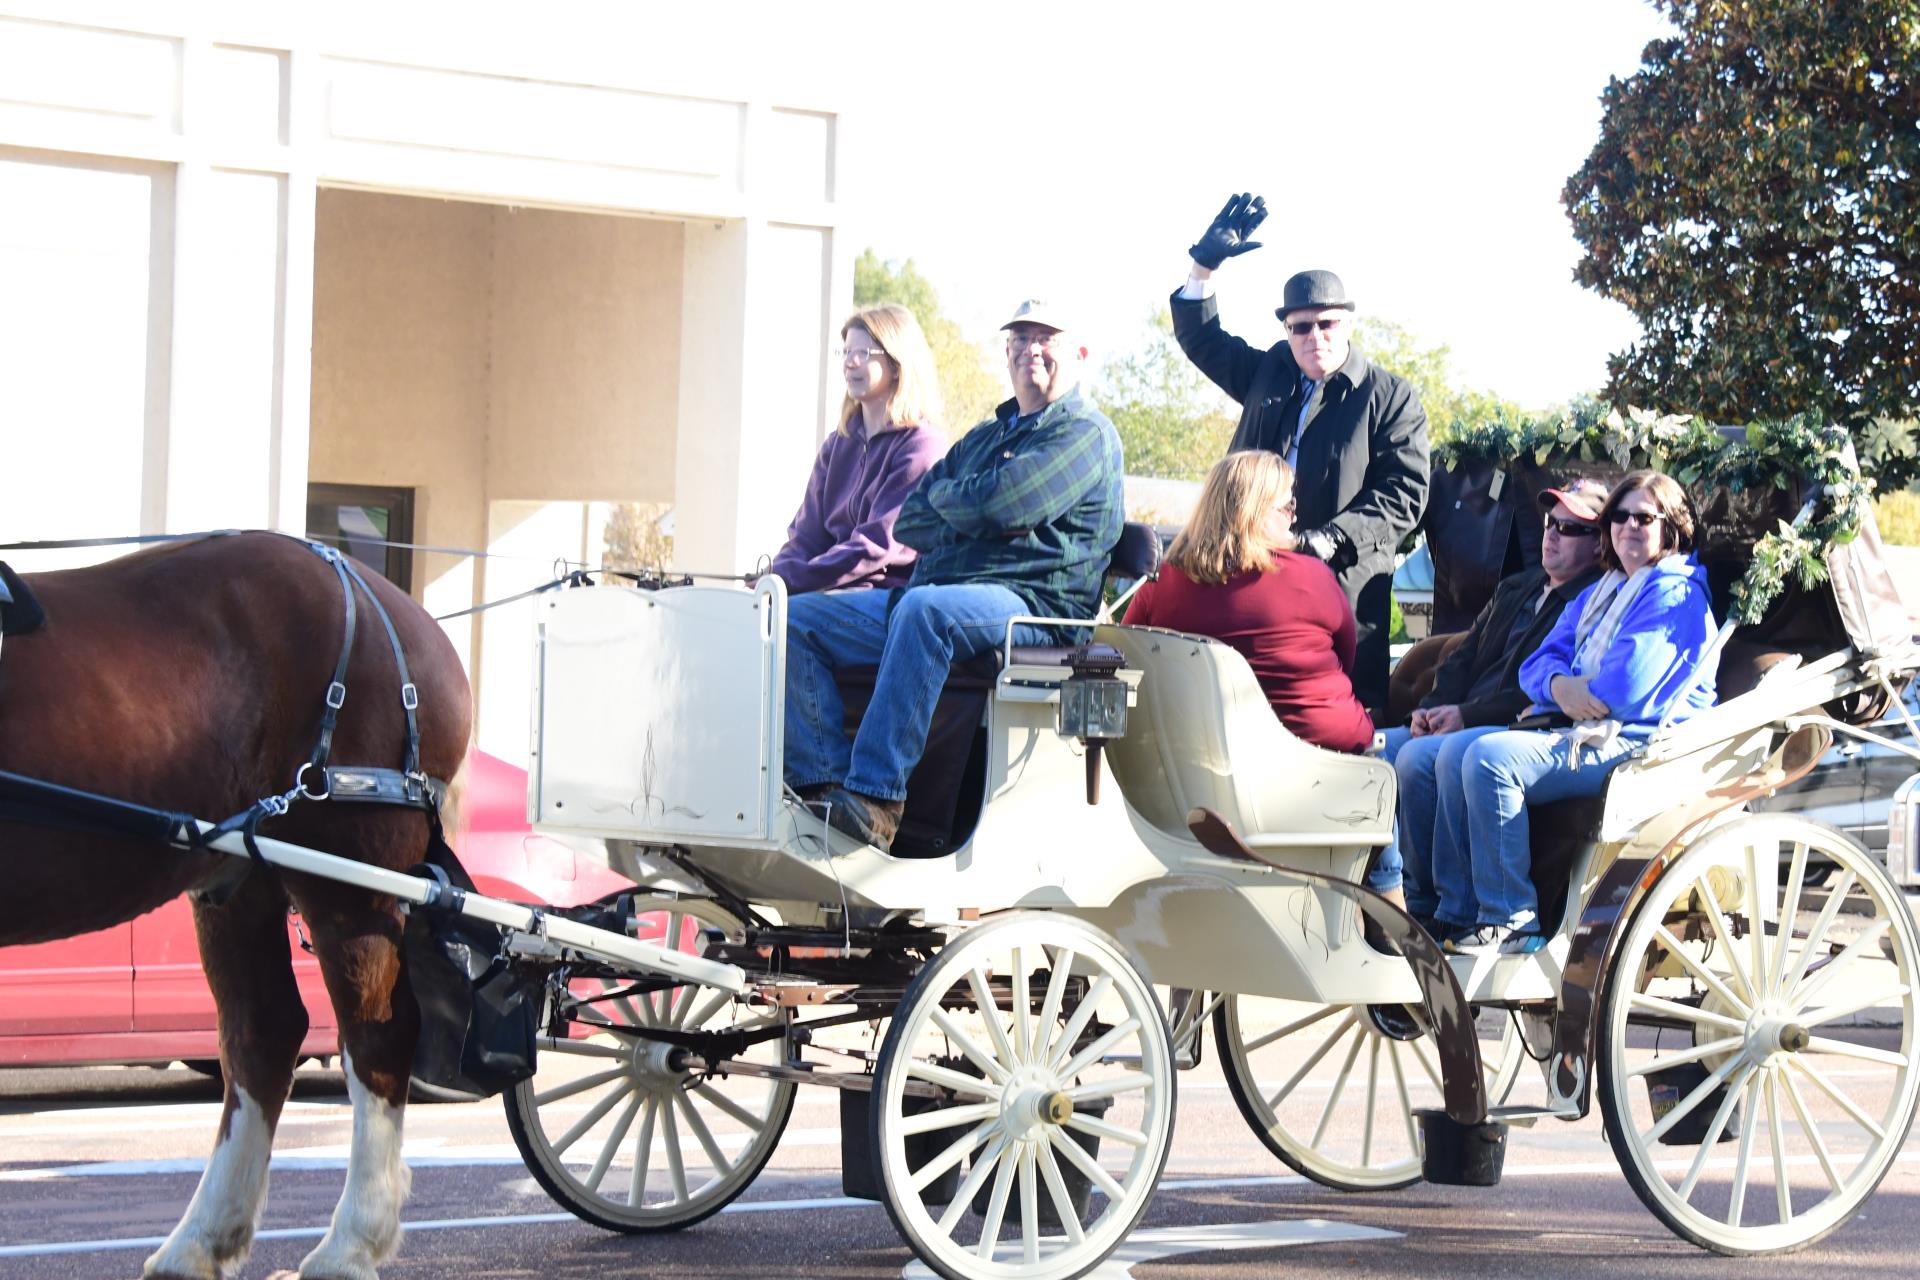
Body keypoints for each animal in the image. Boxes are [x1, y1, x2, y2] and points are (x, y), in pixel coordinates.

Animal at [0, 533, 476, 1280]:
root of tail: (388, 601)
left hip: (348, 875)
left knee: (377, 1034)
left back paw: (350, 1241)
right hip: (239, 878)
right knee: (263, 1033)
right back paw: (200, 1239)